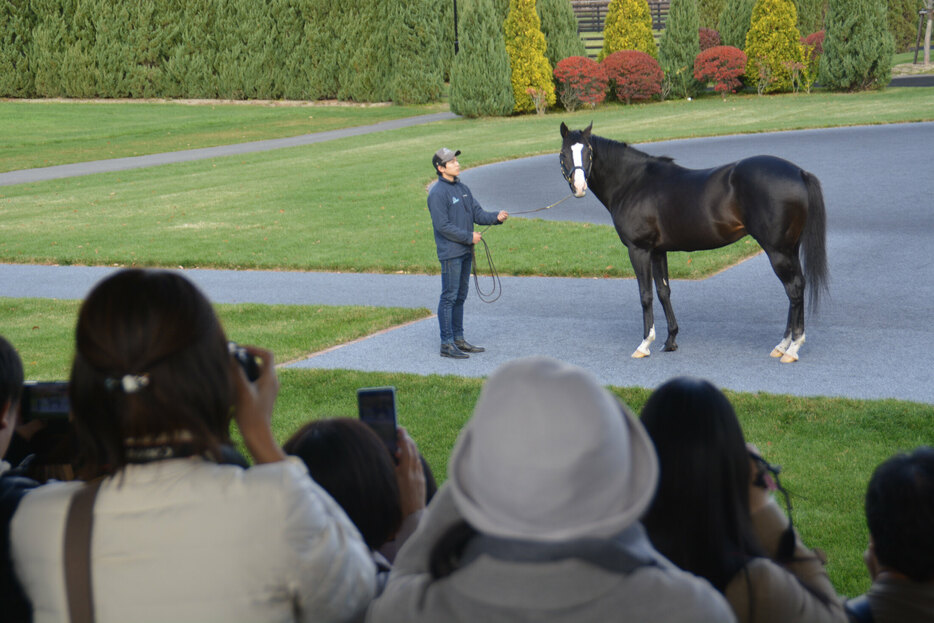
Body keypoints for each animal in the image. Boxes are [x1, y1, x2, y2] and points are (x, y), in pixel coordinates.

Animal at [560, 122, 828, 364]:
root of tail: (799, 173)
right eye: (564, 154)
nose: (579, 187)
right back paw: (782, 346)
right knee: (797, 287)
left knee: (793, 289)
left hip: (777, 250)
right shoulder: (658, 251)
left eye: (588, 152)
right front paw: (670, 341)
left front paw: (644, 344)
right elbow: (664, 292)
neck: (633, 183)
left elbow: (645, 295)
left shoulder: (639, 250)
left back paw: (792, 348)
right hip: (789, 248)